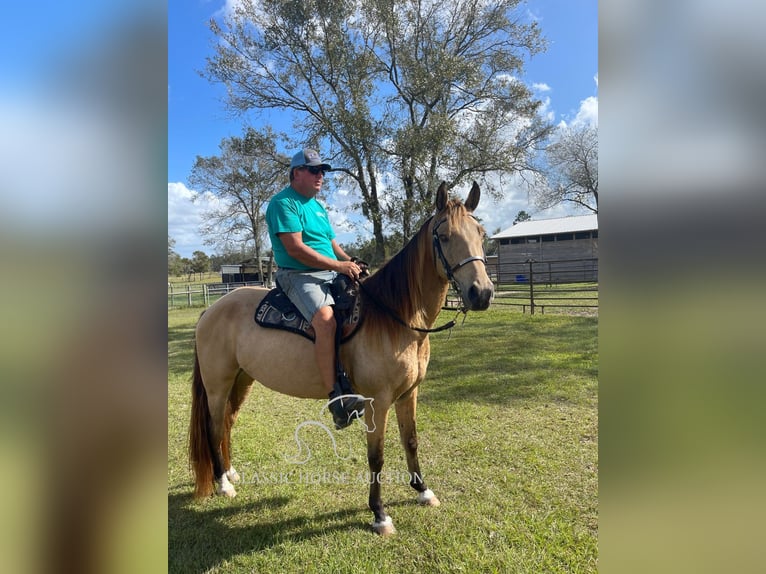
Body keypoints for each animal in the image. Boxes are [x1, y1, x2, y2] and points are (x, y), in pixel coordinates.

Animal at [189, 182, 496, 536]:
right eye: (444, 236)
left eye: (481, 233)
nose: (481, 293)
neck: (394, 317)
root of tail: (210, 310)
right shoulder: (378, 400)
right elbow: (376, 456)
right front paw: (380, 514)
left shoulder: (409, 394)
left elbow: (411, 441)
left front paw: (423, 491)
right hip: (218, 384)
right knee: (213, 426)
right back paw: (222, 484)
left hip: (242, 380)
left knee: (227, 423)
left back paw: (230, 472)